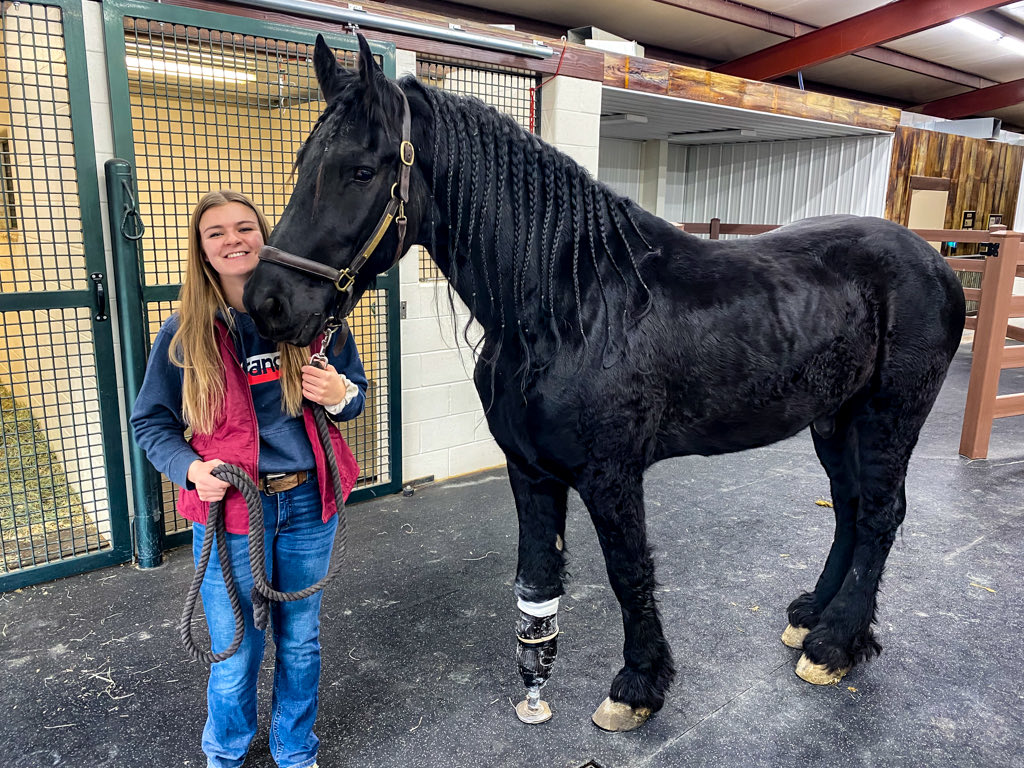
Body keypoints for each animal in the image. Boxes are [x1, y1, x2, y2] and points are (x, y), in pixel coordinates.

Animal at [243, 33, 966, 731]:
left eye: (361, 171)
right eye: (302, 162)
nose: (266, 302)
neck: (572, 303)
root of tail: (934, 261)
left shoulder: (611, 473)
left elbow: (628, 570)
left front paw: (639, 688)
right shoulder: (531, 470)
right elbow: (537, 578)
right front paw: (540, 686)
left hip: (888, 416)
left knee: (879, 515)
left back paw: (835, 645)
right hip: (834, 420)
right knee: (849, 507)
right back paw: (814, 613)